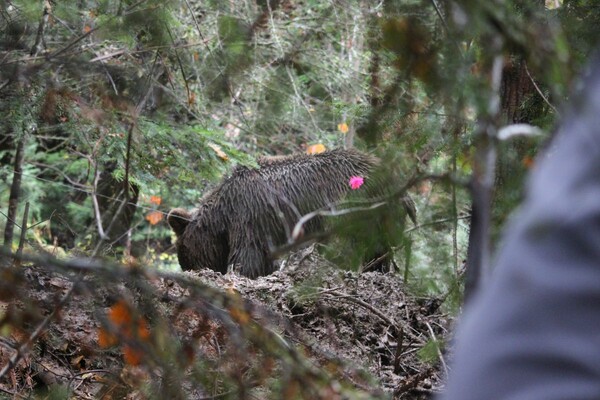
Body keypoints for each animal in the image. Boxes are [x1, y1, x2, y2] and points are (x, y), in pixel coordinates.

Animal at [169, 148, 412, 278]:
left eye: (184, 254)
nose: (189, 270)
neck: (223, 214)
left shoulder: (248, 216)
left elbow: (247, 256)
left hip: (353, 206)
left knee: (345, 245)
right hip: (383, 218)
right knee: (378, 251)